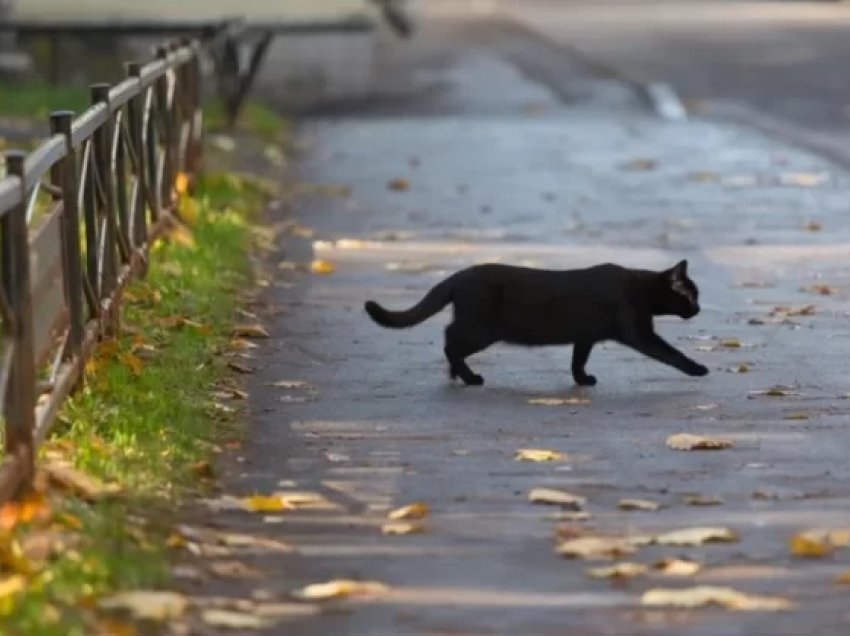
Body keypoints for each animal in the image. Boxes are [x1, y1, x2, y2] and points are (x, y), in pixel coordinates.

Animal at [362, 260, 704, 388]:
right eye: (692, 296)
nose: (699, 309)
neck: (639, 288)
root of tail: (459, 276)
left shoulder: (585, 335)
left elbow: (578, 360)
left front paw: (582, 379)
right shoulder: (639, 332)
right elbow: (670, 352)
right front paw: (698, 369)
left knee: (450, 339)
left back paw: (457, 374)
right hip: (481, 329)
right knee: (450, 341)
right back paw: (469, 377)